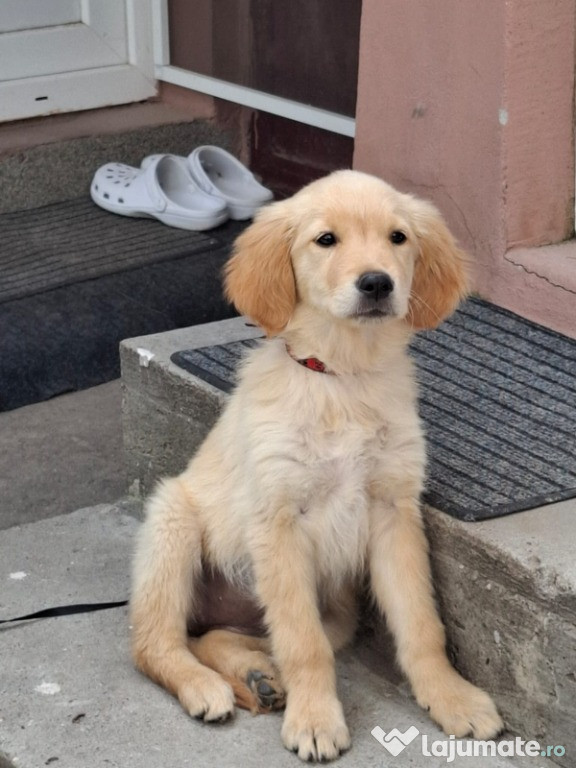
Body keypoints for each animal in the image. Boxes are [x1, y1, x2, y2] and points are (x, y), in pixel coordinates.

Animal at [133, 170, 502, 760]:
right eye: (325, 240)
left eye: (398, 238)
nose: (376, 283)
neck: (341, 379)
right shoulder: (279, 520)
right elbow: (303, 644)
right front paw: (314, 720)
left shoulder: (394, 511)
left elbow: (421, 624)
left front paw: (451, 697)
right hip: (172, 523)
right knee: (155, 643)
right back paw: (204, 685)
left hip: (336, 610)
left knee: (219, 637)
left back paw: (257, 676)